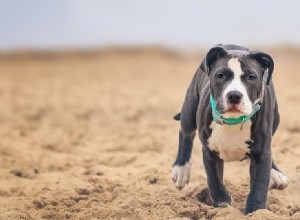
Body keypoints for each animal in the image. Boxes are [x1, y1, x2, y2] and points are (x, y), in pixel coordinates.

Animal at [172, 43, 290, 214]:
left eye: (251, 77)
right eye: (220, 75)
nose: (234, 95)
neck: (233, 120)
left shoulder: (261, 153)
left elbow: (259, 186)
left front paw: (256, 212)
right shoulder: (209, 152)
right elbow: (214, 182)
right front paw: (223, 207)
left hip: (276, 119)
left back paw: (276, 174)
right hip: (190, 108)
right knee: (185, 132)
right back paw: (181, 169)